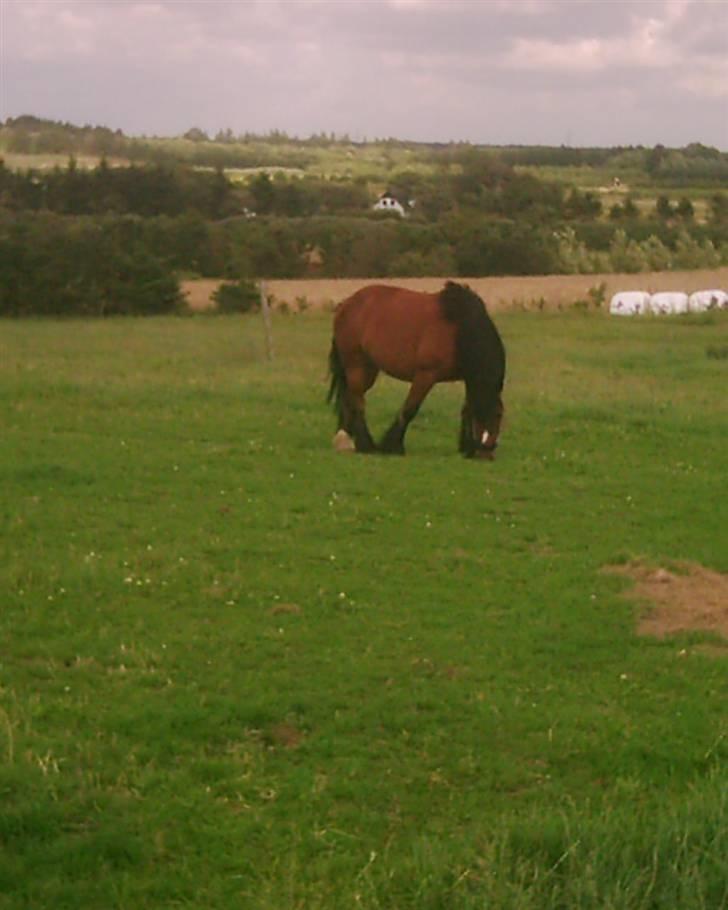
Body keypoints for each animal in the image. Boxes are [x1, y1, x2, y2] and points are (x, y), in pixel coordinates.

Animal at [328, 282, 504, 460]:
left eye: (499, 416)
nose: (485, 454)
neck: (460, 328)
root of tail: (345, 304)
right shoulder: (425, 376)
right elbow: (410, 409)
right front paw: (393, 446)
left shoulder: (468, 378)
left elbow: (467, 410)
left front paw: (466, 447)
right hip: (355, 365)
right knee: (357, 402)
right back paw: (365, 445)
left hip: (368, 369)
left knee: (350, 398)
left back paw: (345, 441)